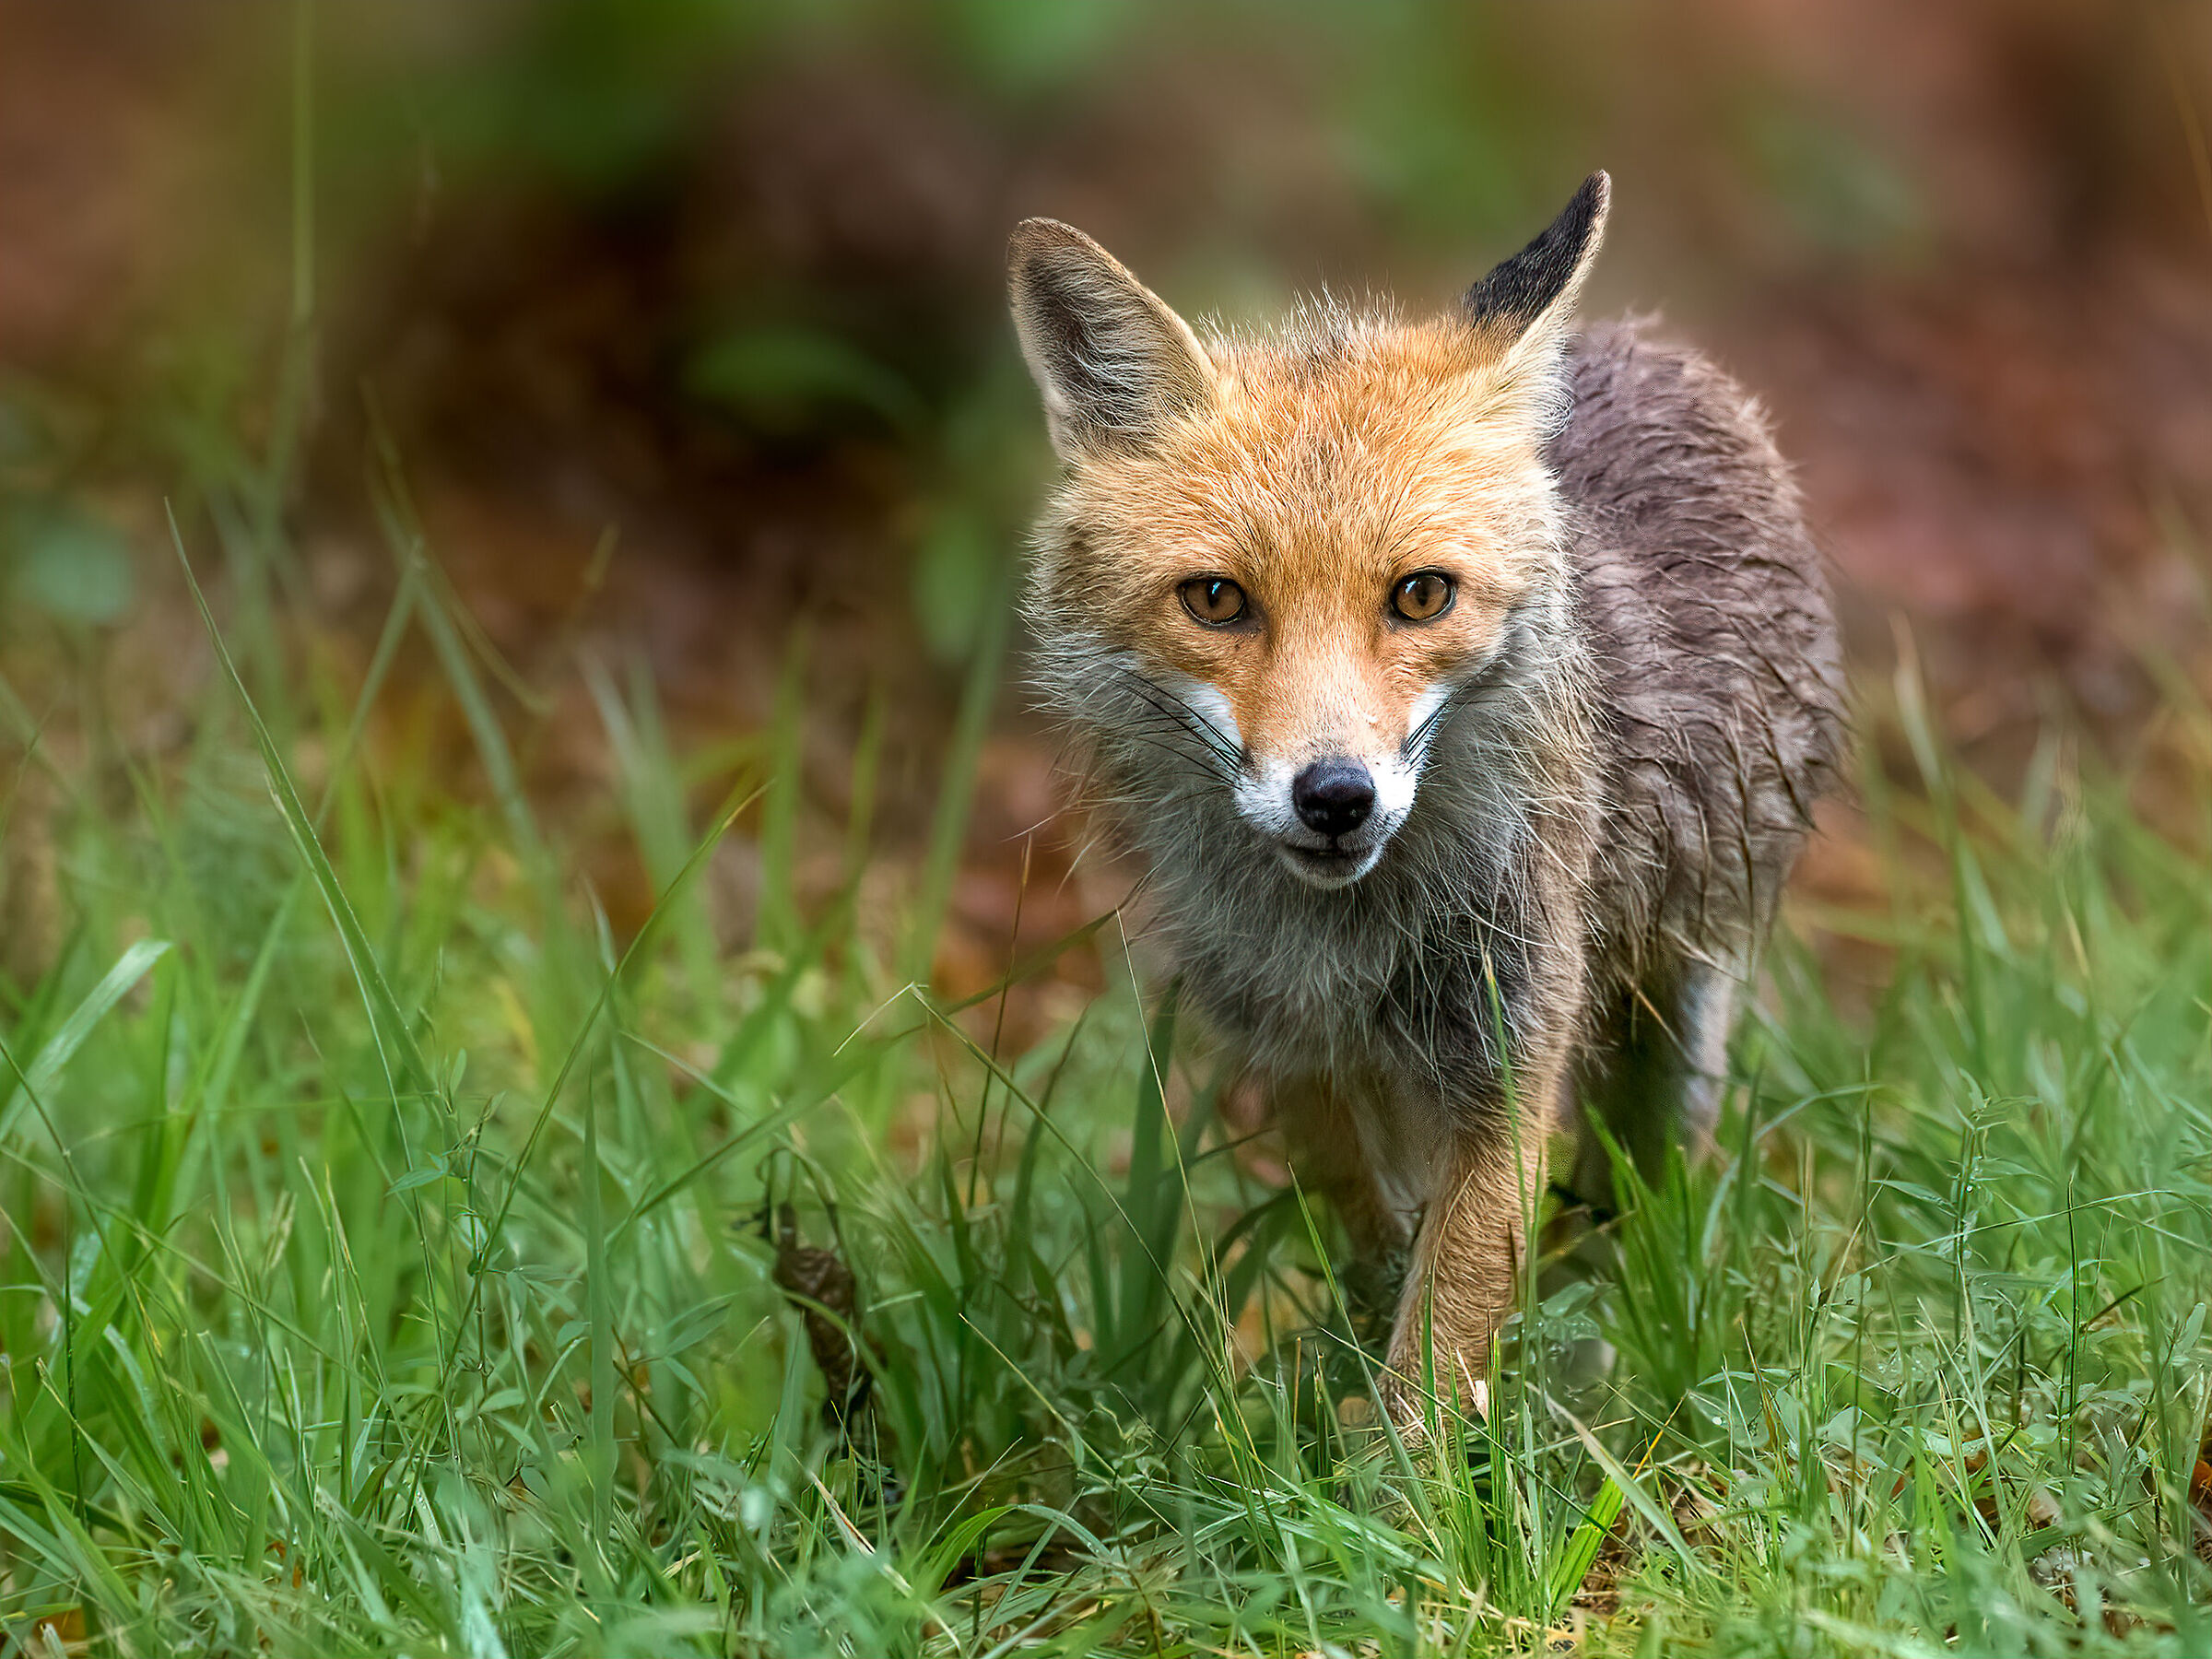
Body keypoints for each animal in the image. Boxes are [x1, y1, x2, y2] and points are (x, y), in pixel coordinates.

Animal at [1007, 172, 1844, 1423]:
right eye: (1217, 601)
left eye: (1420, 596)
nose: (1335, 798)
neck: (1350, 943)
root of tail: (1645, 341)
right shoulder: (1287, 1048)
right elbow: (1373, 1236)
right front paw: (1366, 1363)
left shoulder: (1512, 1047)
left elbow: (1443, 1335)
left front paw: (1412, 1465)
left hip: (1680, 1021)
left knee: (1642, 1216)